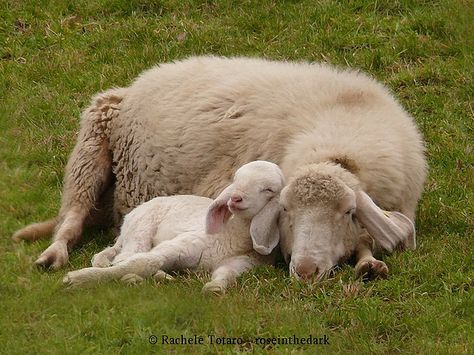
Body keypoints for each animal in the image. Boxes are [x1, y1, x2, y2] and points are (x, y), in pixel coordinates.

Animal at [12, 55, 426, 280]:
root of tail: (139, 81)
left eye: (349, 212)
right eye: (285, 211)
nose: (305, 271)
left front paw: (368, 263)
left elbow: (369, 241)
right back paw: (53, 254)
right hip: (92, 142)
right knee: (72, 217)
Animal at [63, 162, 286, 294]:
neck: (233, 234)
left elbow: (226, 274)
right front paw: (79, 278)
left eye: (268, 189)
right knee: (126, 257)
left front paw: (214, 288)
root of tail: (128, 220)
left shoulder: (243, 262)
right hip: (141, 229)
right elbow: (143, 263)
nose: (235, 198)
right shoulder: (180, 245)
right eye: (235, 180)